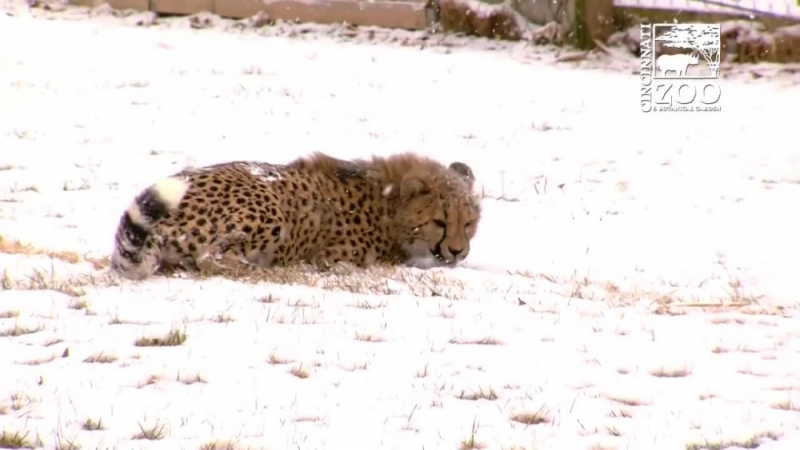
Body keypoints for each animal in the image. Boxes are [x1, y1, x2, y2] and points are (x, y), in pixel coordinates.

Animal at [109, 152, 478, 278]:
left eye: (469, 223)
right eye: (439, 222)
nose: (458, 250)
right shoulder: (336, 256)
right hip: (269, 208)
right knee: (209, 257)